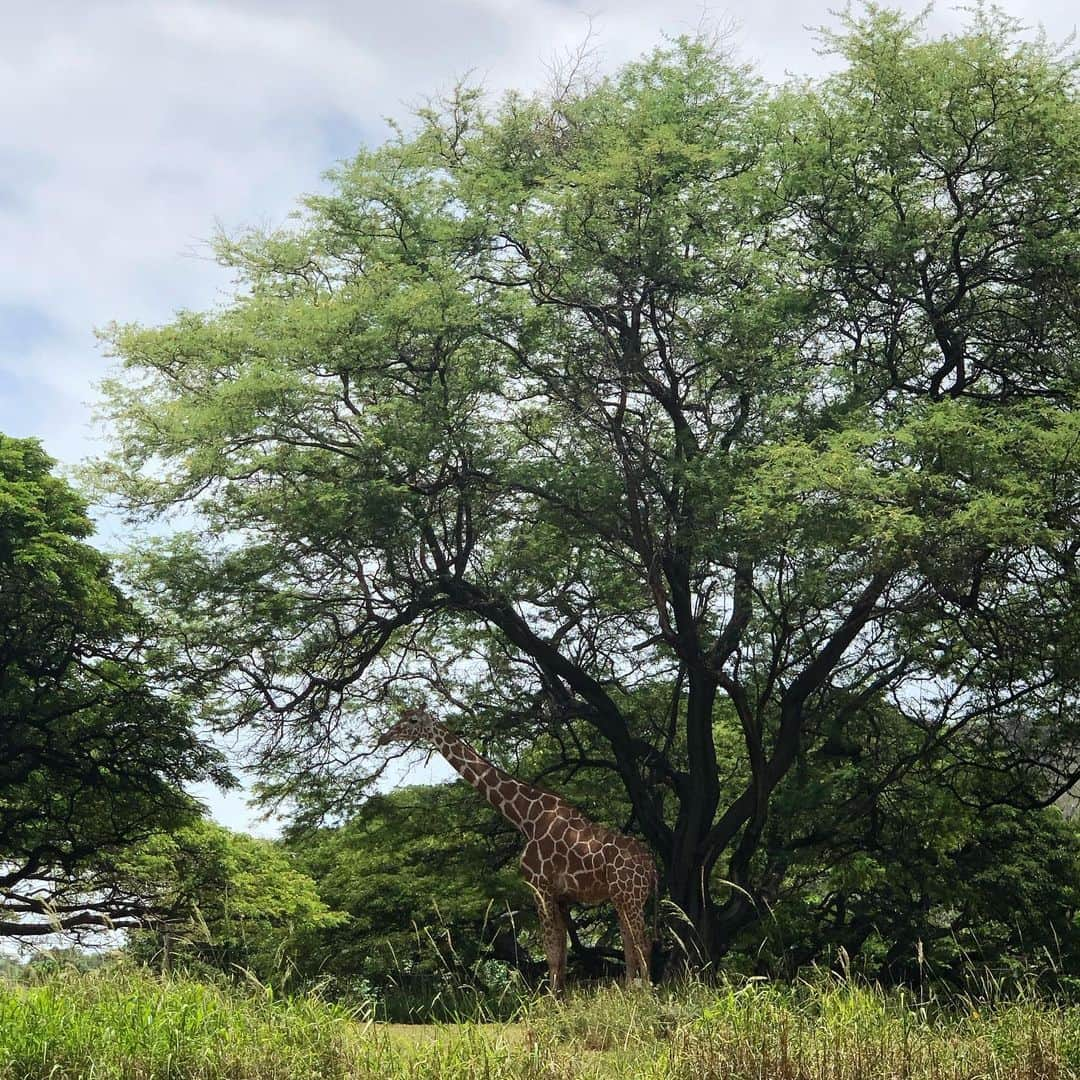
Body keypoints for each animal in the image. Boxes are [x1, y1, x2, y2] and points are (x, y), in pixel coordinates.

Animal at [375, 704, 660, 989]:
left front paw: (551, 999)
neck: (526, 818)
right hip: (621, 897)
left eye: (412, 720)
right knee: (631, 944)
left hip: (630, 895)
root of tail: (652, 865)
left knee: (643, 944)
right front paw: (561, 994)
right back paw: (629, 990)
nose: (384, 737)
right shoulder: (560, 897)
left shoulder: (539, 887)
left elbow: (552, 951)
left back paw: (645, 991)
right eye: (401, 716)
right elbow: (561, 952)